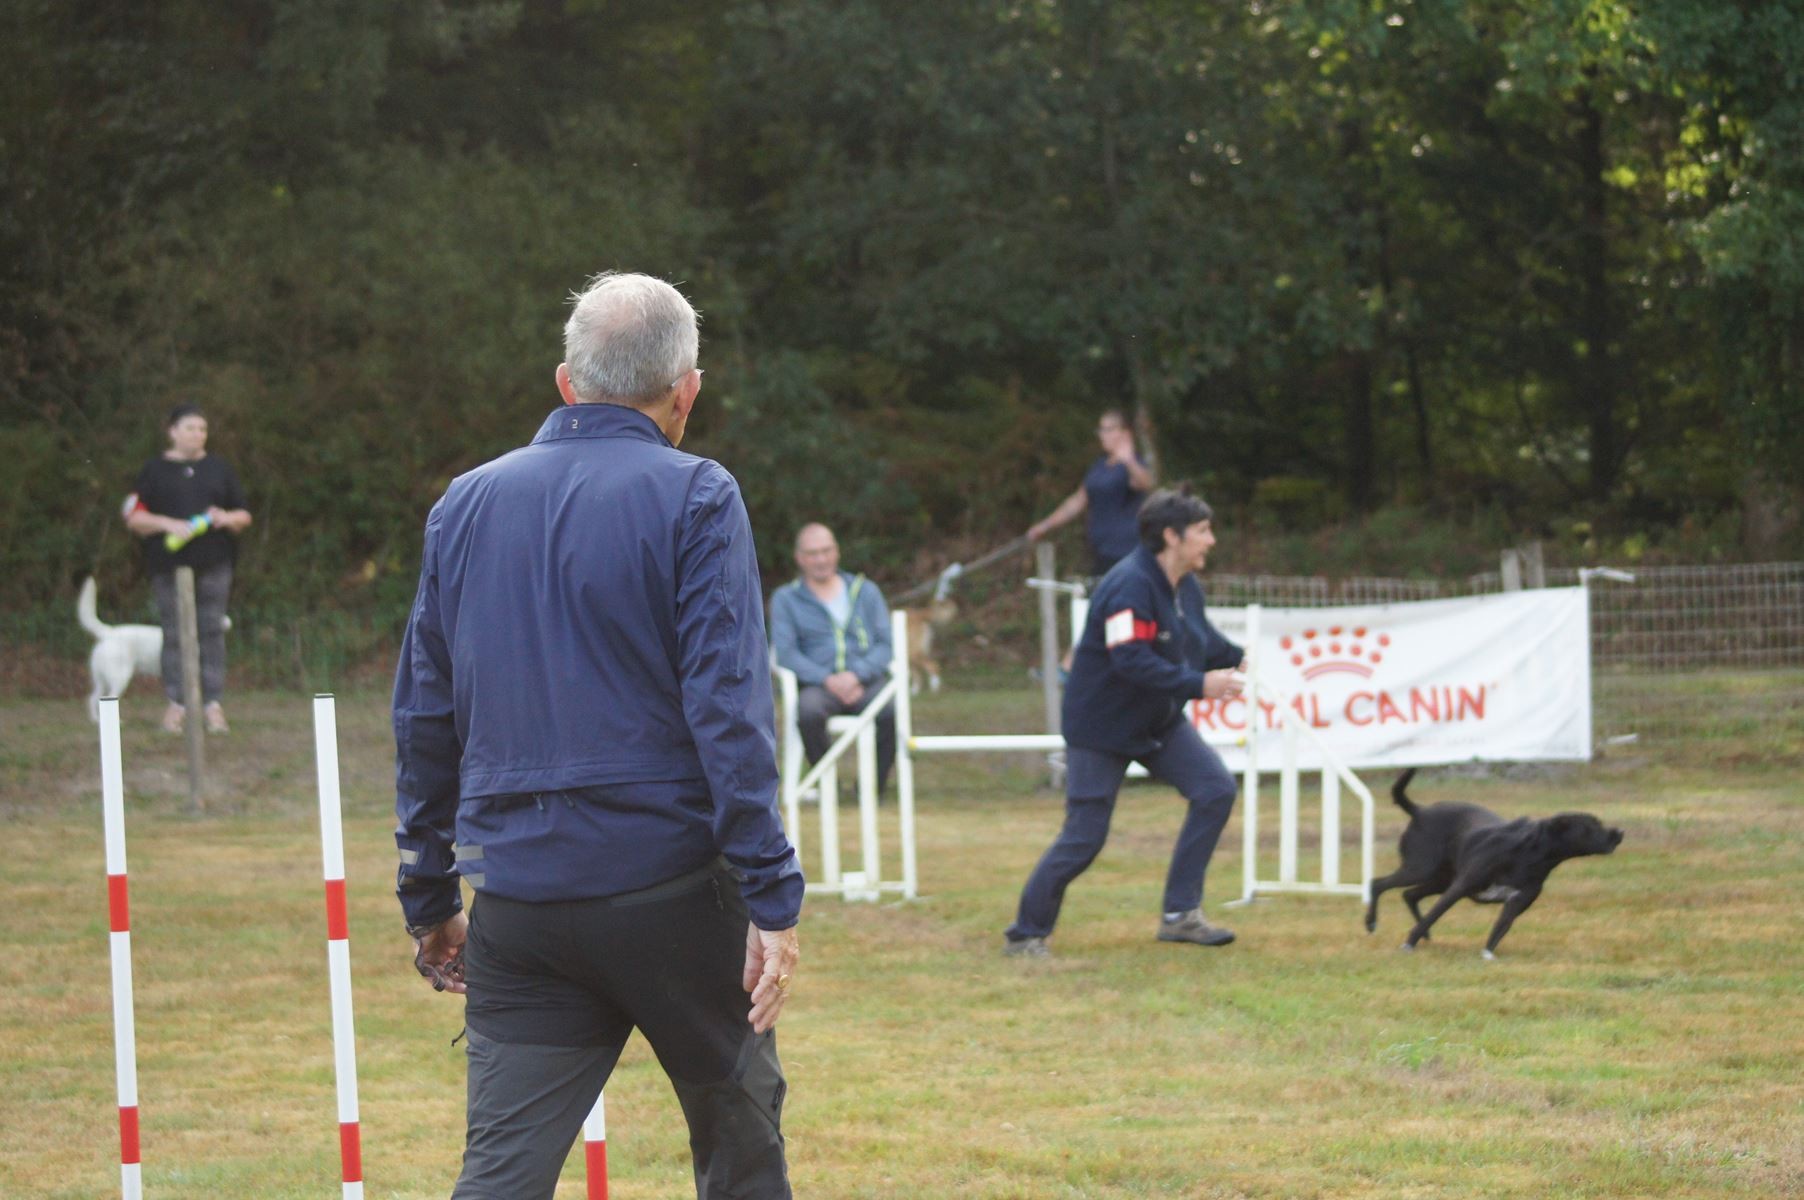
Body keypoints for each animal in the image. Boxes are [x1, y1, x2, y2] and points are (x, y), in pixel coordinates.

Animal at [1363, 772, 1623, 960]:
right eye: (1591, 826)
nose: (1620, 833)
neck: (1530, 853)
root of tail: (1419, 811)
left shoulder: (1518, 901)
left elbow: (1501, 926)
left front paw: (1488, 954)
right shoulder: (1460, 887)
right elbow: (1435, 914)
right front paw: (1409, 943)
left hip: (1442, 878)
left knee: (1410, 894)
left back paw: (1425, 935)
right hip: (1421, 868)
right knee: (1379, 884)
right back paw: (1372, 923)